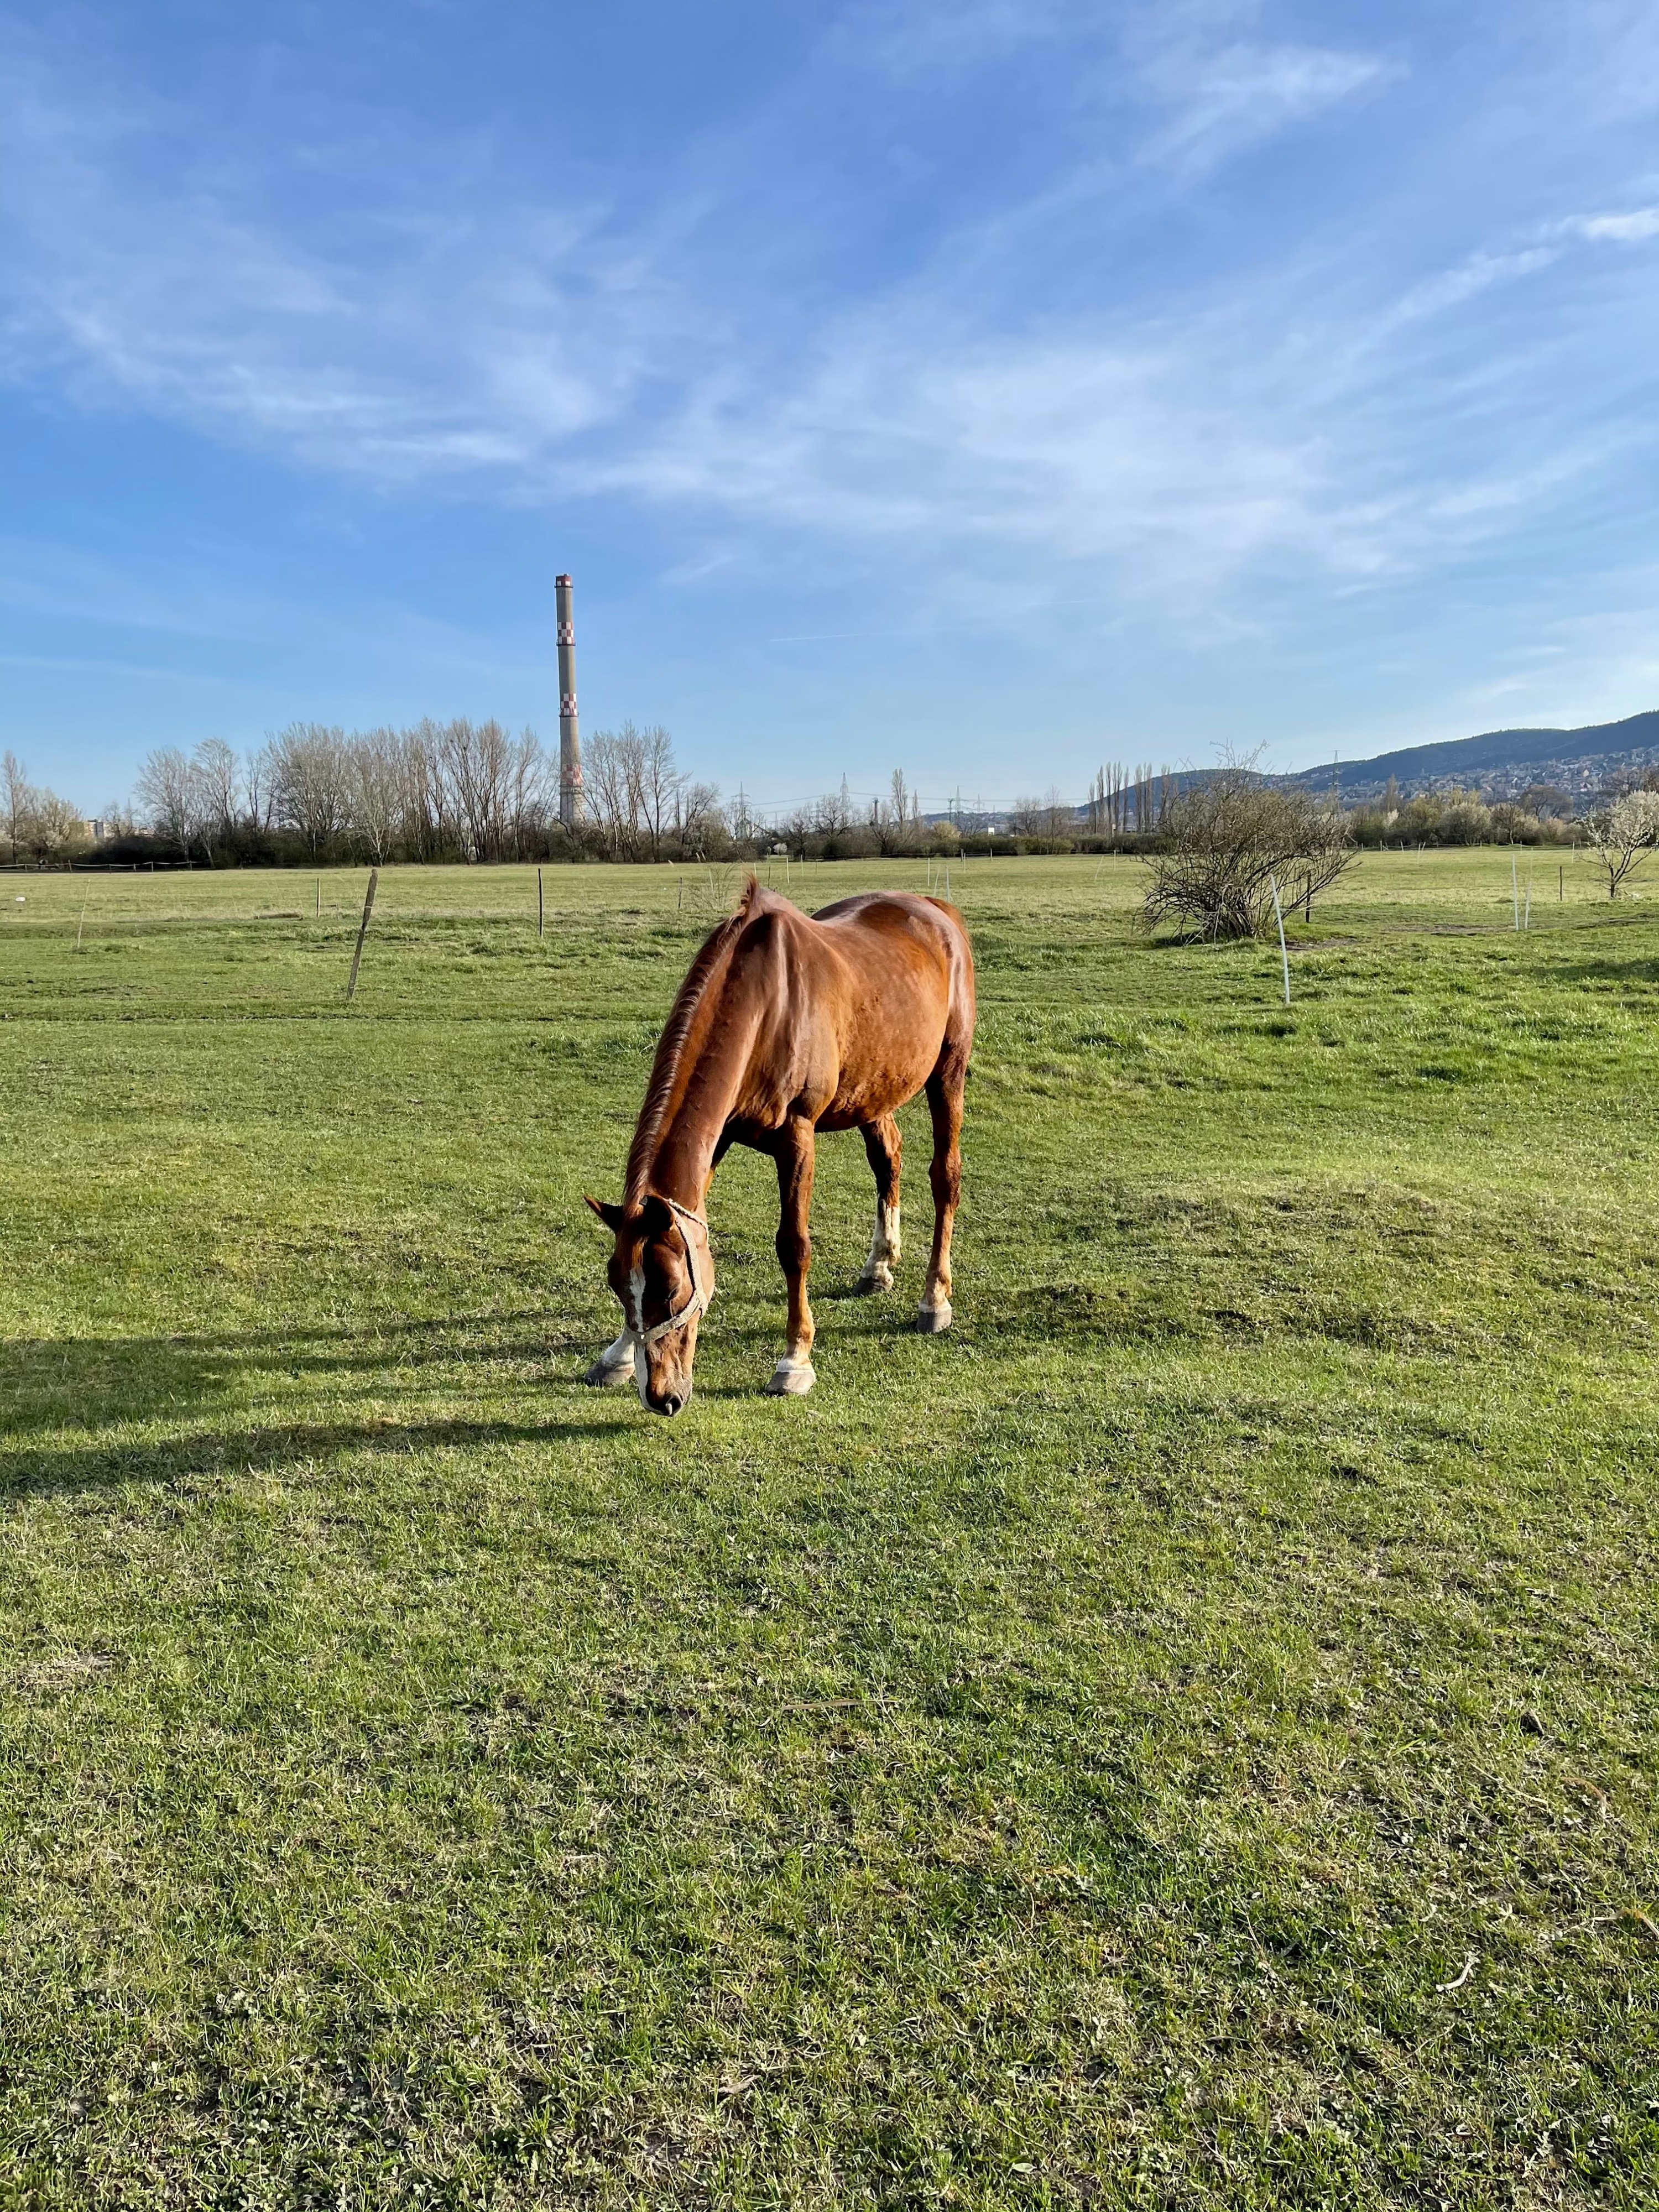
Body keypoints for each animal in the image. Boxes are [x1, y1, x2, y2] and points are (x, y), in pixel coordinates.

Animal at [585, 879, 975, 1415]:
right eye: (618, 1283)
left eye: (670, 1288)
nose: (661, 1396)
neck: (766, 1006)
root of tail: (938, 912)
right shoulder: (720, 1136)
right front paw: (619, 1355)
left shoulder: (797, 1136)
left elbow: (794, 1246)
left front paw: (795, 1361)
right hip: (873, 1091)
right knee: (888, 1160)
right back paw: (878, 1267)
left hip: (948, 1074)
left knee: (945, 1178)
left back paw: (935, 1300)